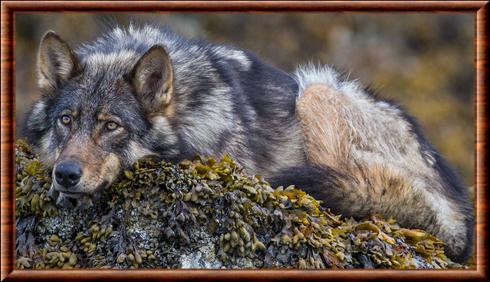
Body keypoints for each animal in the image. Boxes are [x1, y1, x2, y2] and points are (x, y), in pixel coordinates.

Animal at [24, 24, 472, 262]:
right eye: (66, 120)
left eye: (111, 126)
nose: (66, 174)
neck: (187, 109)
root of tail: (458, 211)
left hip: (316, 89)